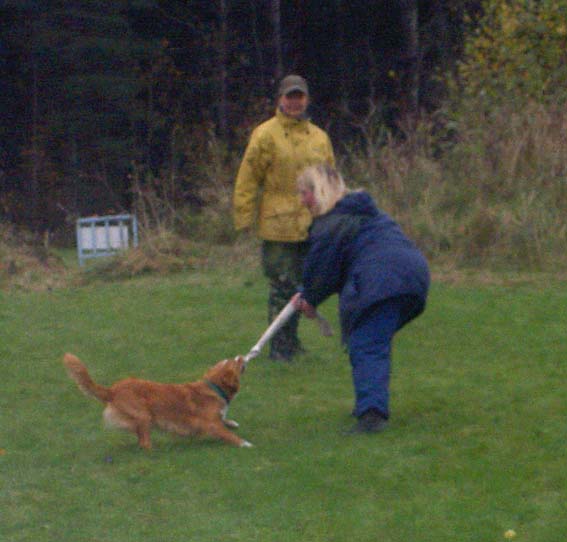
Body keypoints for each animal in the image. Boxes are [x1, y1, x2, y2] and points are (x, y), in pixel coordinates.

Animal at [61, 352, 252, 450]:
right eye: (234, 362)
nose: (242, 355)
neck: (214, 386)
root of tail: (112, 390)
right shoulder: (210, 424)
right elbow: (228, 434)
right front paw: (245, 443)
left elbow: (225, 422)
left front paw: (232, 423)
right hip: (144, 415)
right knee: (144, 442)